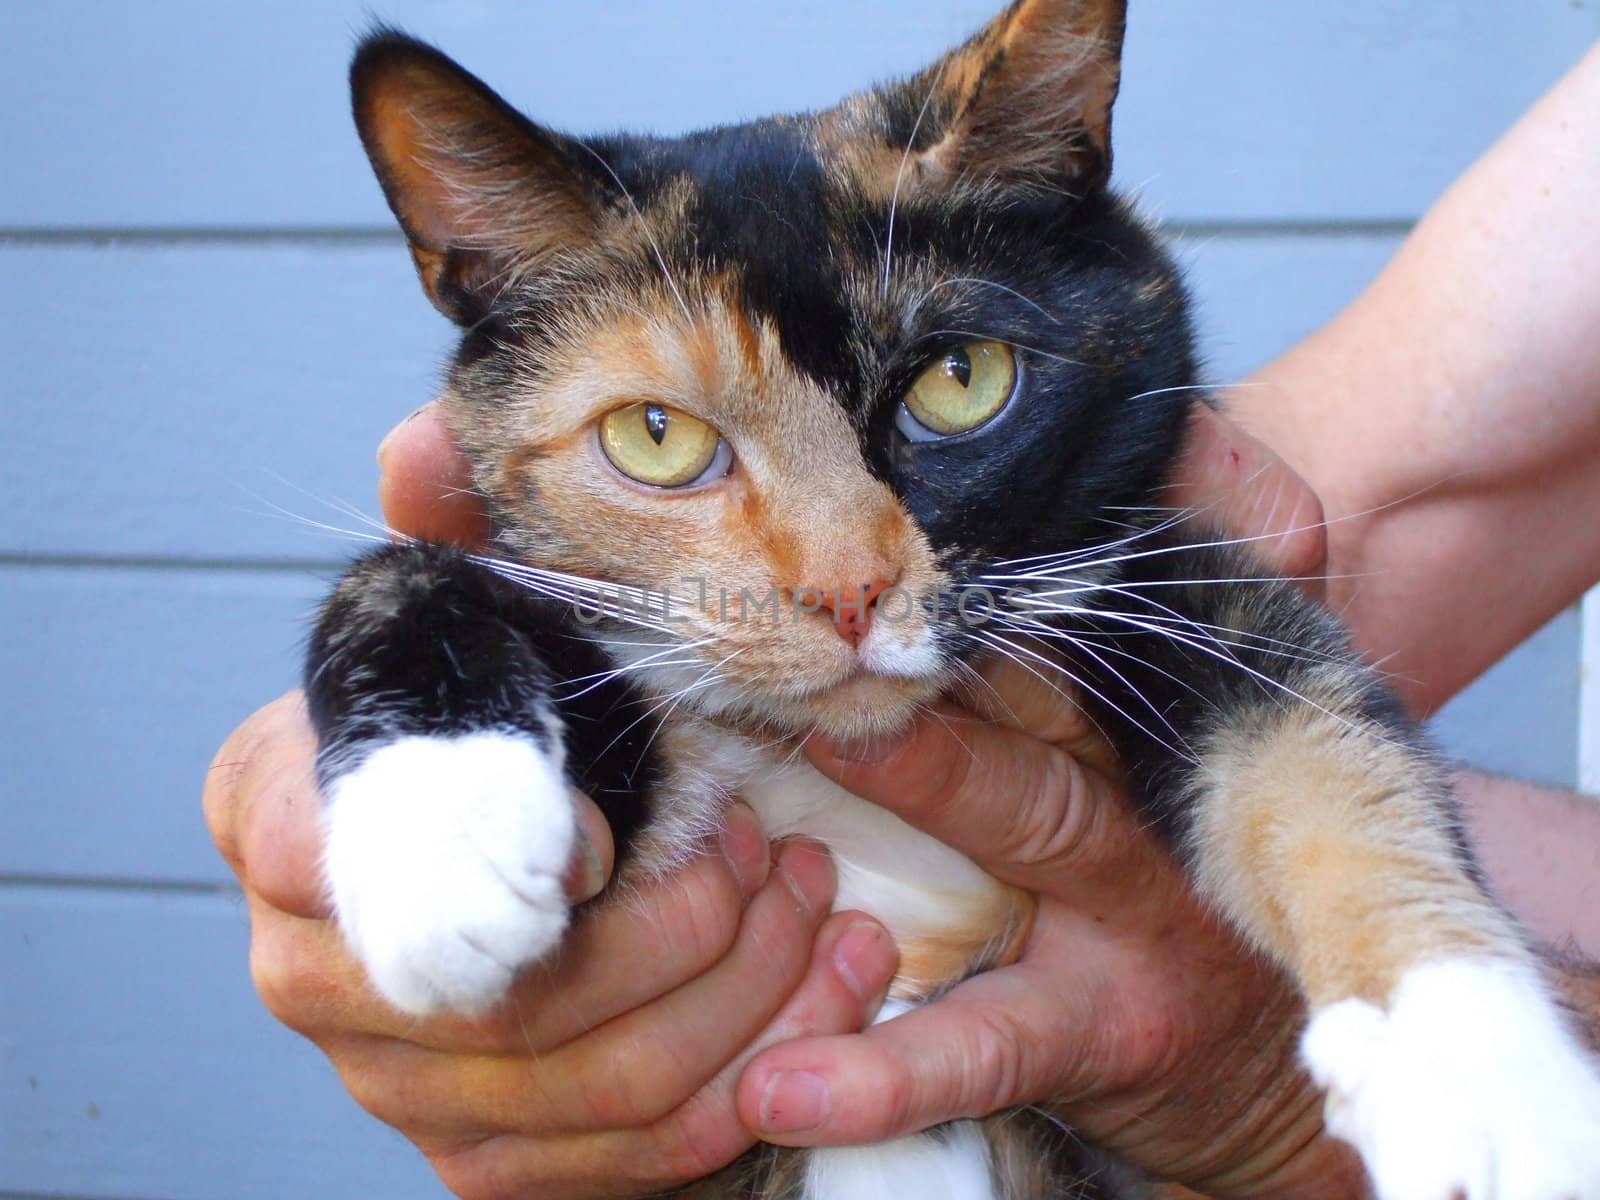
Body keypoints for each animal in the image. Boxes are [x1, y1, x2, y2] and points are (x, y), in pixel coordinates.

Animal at [305, 2, 1600, 1200]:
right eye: (655, 437)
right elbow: (398, 577)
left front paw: (1483, 1077)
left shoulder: (1160, 585)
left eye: (960, 381)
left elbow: (1315, 757)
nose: (847, 593)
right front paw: (439, 847)